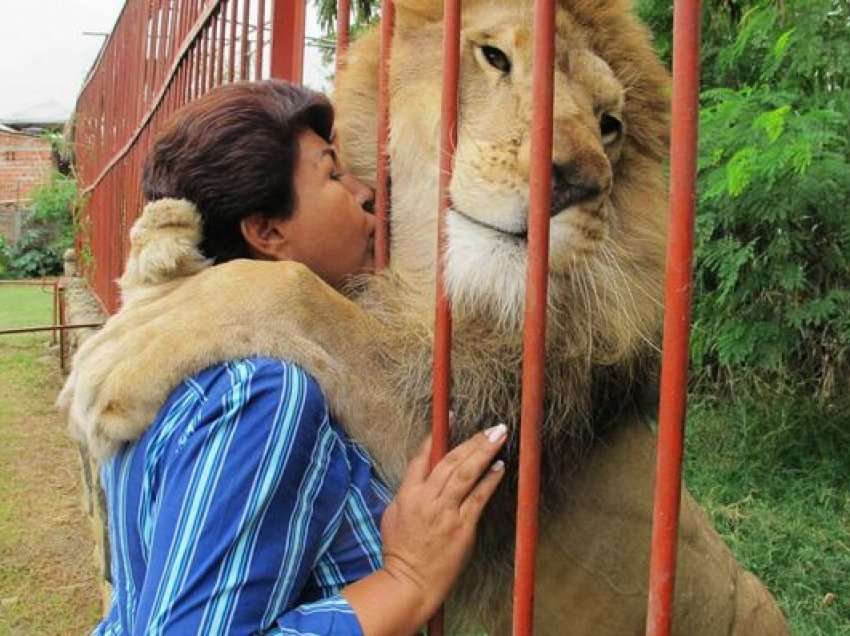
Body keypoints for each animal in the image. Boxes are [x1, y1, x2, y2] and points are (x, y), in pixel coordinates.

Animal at [61, 0, 788, 632]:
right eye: (494, 56)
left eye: (610, 125)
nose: (578, 183)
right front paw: (159, 241)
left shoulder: (456, 421)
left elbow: (303, 296)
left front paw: (128, 343)